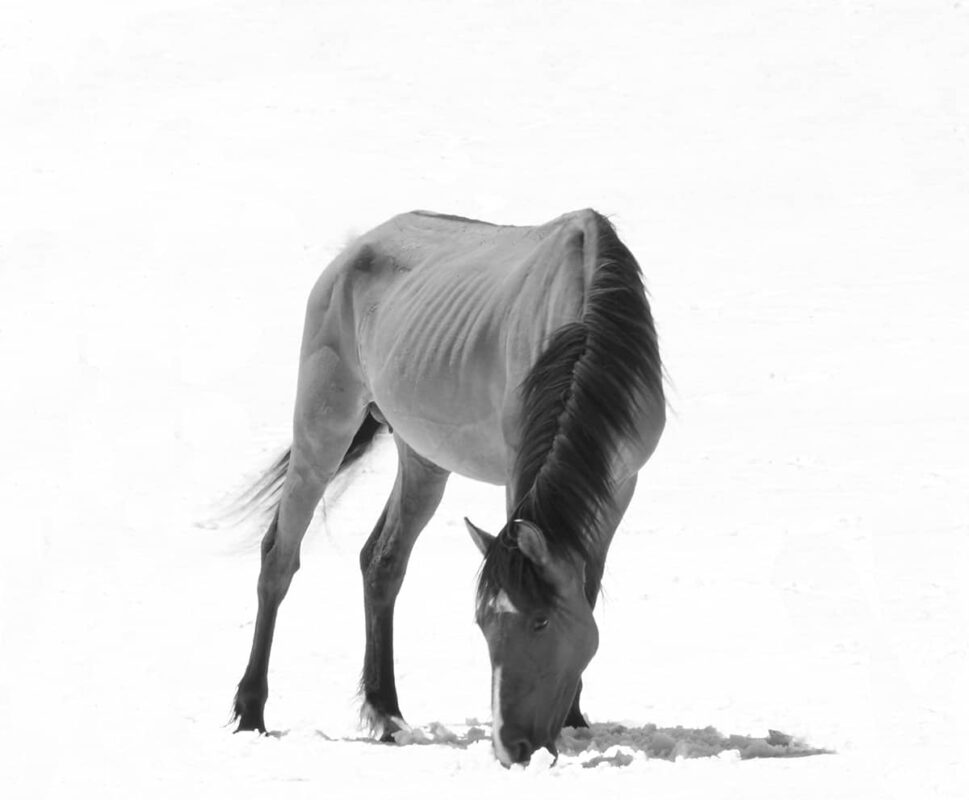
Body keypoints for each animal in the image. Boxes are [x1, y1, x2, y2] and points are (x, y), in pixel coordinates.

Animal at [232, 209, 665, 766]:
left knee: (382, 563)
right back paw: (251, 710)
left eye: (540, 623)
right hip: (322, 430)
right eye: (481, 624)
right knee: (279, 557)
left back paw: (387, 713)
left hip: (423, 458)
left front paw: (574, 717)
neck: (587, 320)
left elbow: (586, 587)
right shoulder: (519, 475)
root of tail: (352, 252)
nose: (511, 746)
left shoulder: (620, 483)